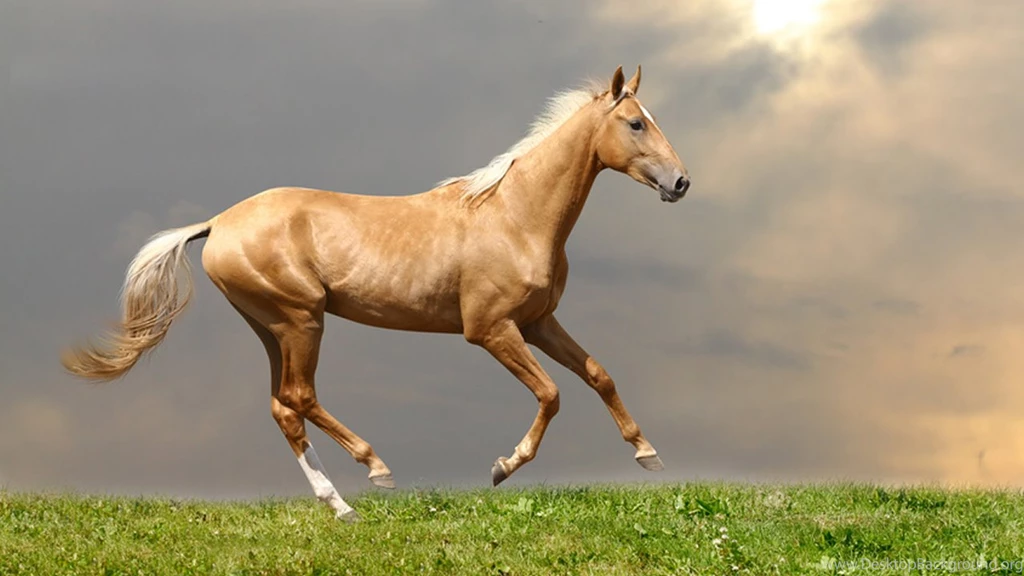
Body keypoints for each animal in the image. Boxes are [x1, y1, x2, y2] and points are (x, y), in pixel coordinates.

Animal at [62, 65, 691, 521]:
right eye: (635, 123)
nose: (680, 182)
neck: (514, 216)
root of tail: (216, 223)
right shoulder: (490, 330)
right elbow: (552, 394)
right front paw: (503, 467)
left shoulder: (539, 323)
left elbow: (598, 374)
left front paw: (648, 455)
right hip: (302, 321)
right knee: (301, 398)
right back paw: (376, 469)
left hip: (270, 328)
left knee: (283, 408)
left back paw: (340, 507)